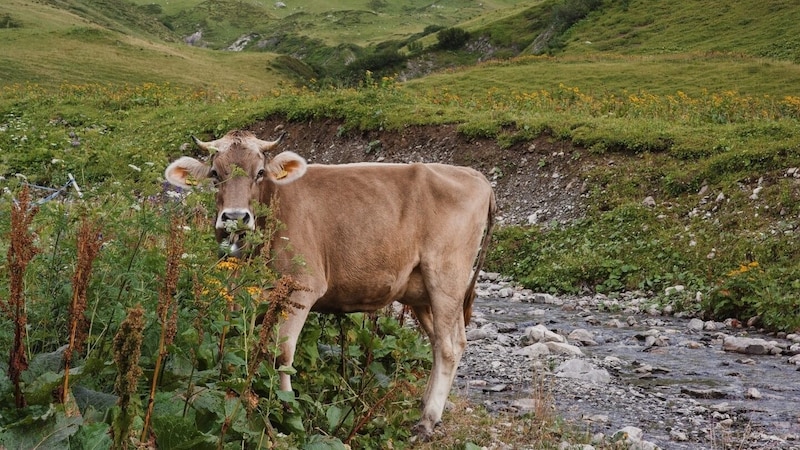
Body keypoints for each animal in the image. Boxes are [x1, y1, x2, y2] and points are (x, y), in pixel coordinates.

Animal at [164, 130, 494, 440]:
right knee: (442, 342)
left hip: (446, 277)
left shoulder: (304, 285)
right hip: (421, 291)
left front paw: (286, 411)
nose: (235, 218)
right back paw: (426, 406)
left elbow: (281, 354)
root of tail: (474, 176)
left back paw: (427, 421)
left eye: (259, 172)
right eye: (215, 173)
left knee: (449, 347)